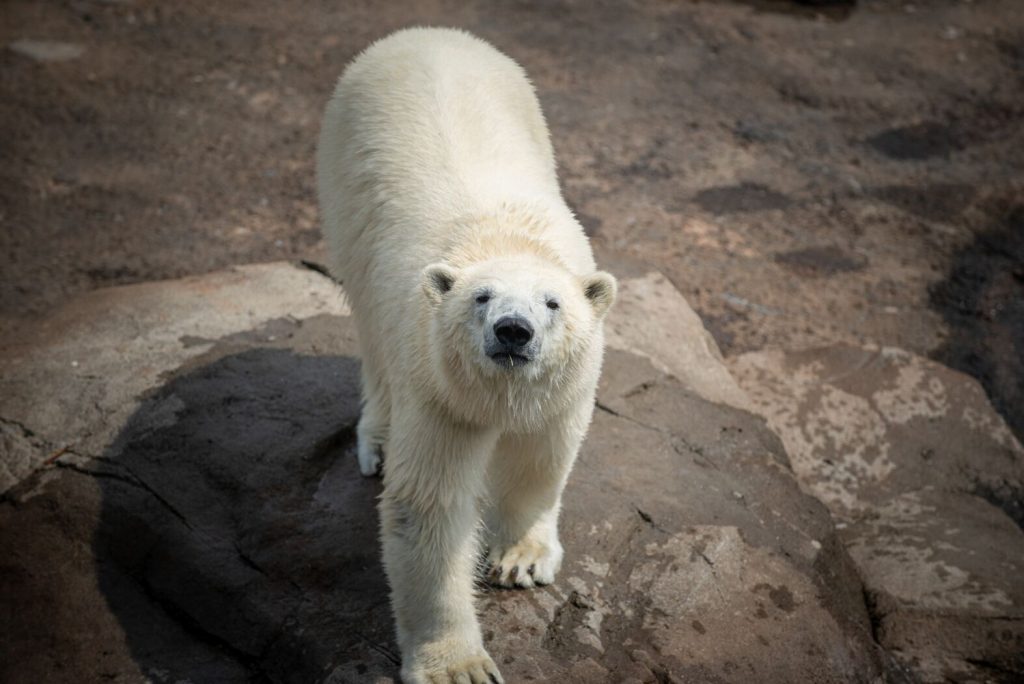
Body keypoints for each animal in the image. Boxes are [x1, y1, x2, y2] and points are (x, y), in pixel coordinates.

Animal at [316, 27, 616, 684]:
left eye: (552, 303)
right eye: (482, 298)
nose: (513, 331)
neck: (503, 237)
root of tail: (422, 33)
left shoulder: (564, 390)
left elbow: (539, 457)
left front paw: (520, 559)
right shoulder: (440, 389)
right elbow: (429, 506)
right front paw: (457, 665)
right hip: (345, 178)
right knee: (368, 325)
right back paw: (377, 439)